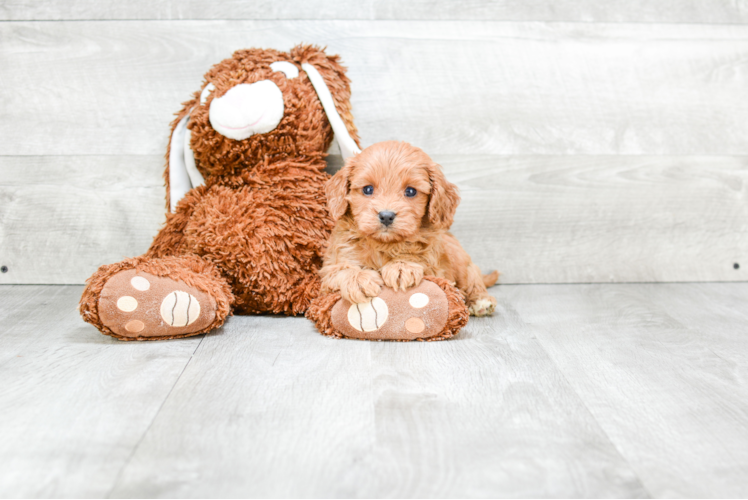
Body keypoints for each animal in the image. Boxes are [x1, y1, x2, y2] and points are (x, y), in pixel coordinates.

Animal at [320, 140, 500, 316]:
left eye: (411, 191)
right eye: (368, 189)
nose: (386, 215)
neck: (383, 244)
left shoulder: (436, 269)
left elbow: (418, 257)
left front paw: (402, 266)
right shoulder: (332, 265)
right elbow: (340, 269)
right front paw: (358, 279)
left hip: (462, 261)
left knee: (472, 277)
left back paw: (481, 301)